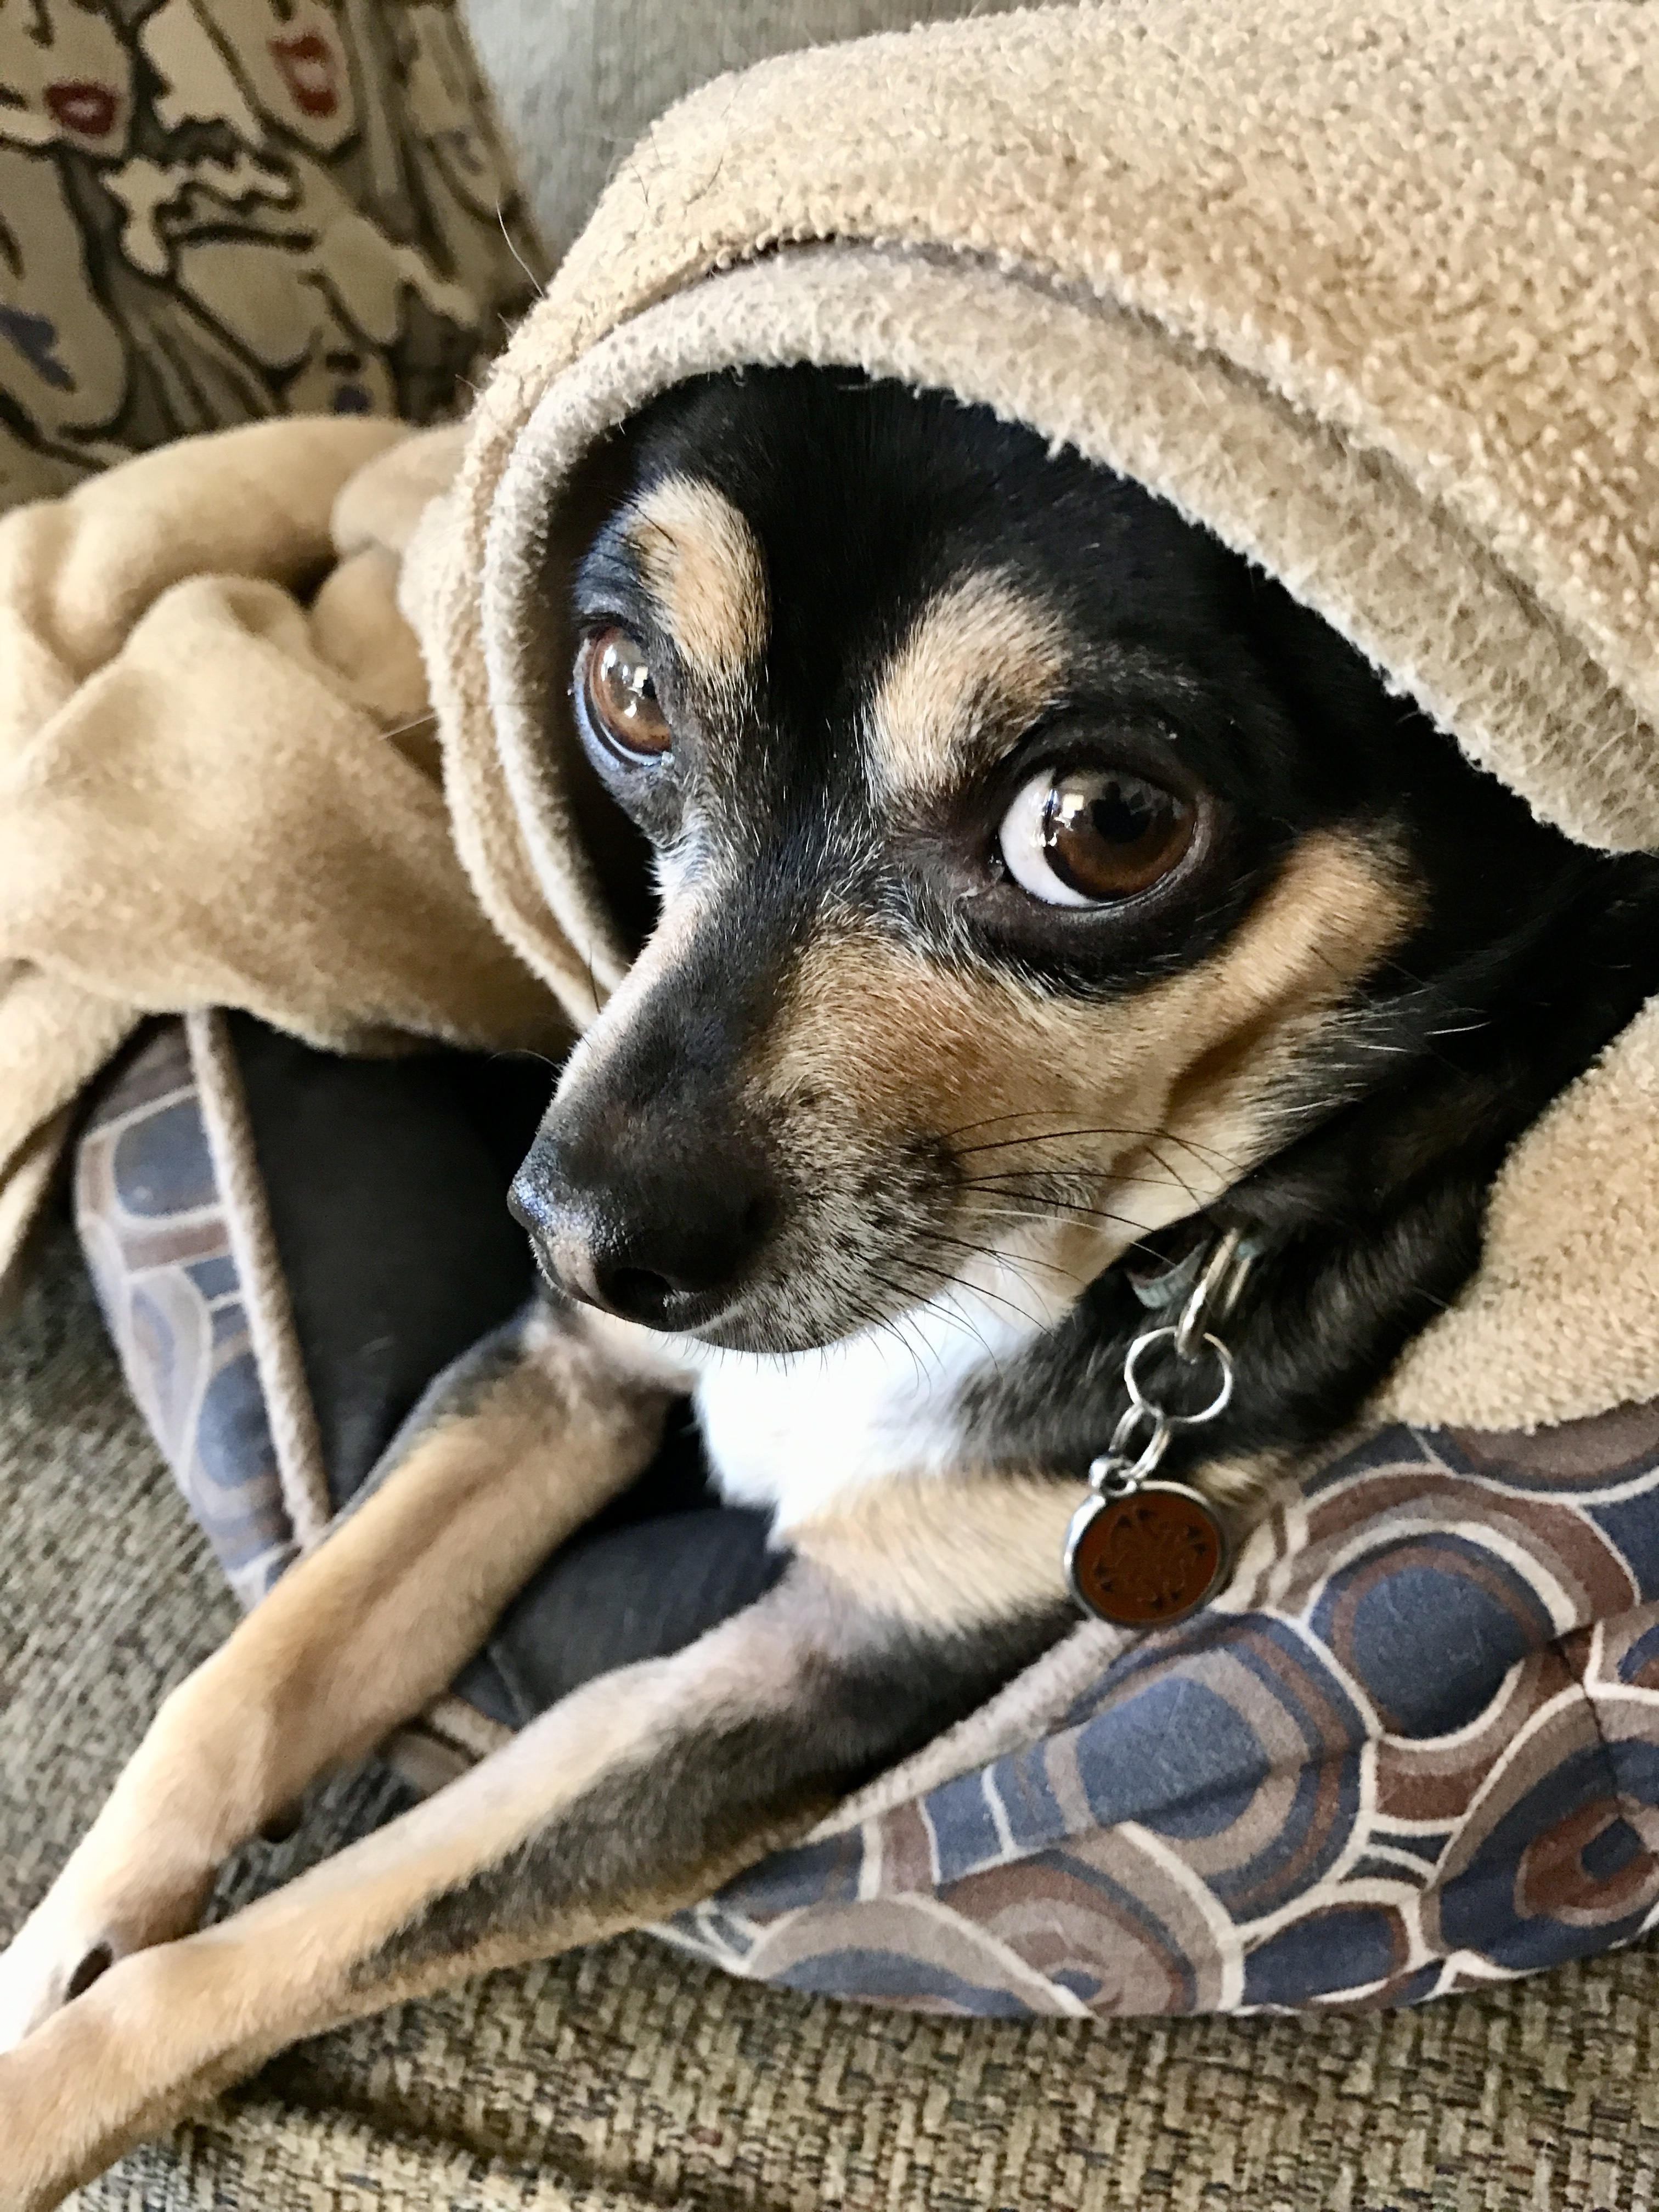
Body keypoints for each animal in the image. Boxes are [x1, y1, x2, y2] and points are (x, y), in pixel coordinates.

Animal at [4, 365, 1658, 2202]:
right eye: (628, 692)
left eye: (1105, 829)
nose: (572, 1230)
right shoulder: (566, 1367)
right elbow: (242, 1689)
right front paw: (58, 1946)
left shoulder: (819, 1664)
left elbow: (302, 1935)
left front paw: (43, 2093)